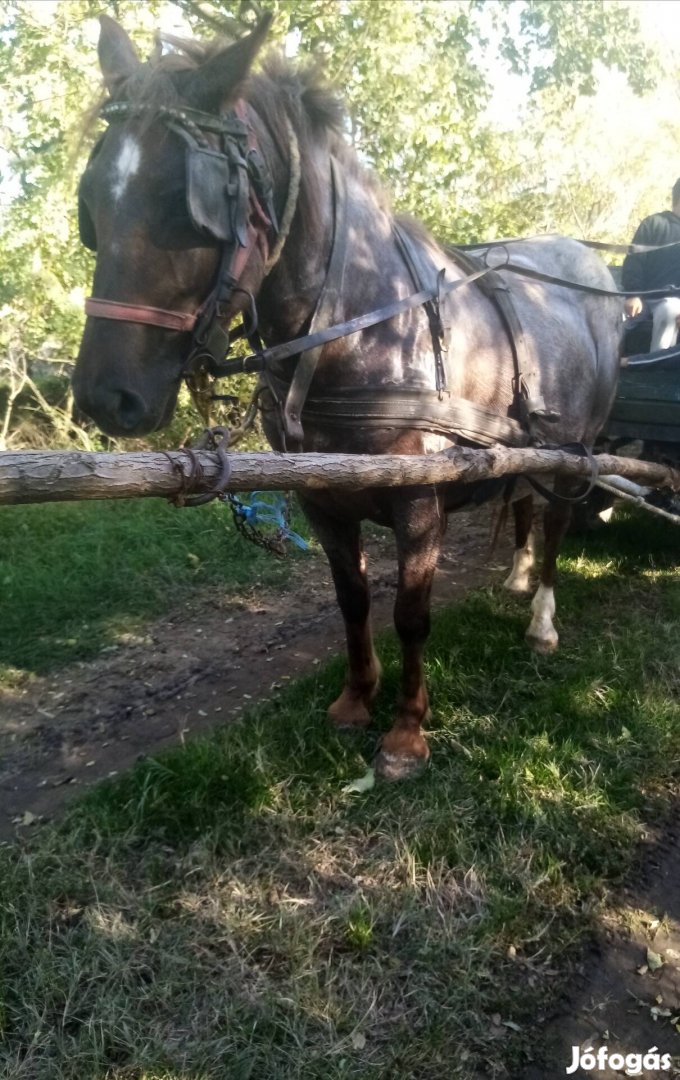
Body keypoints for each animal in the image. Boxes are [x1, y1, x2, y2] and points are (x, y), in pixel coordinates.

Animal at [73, 16, 621, 777]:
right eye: (93, 202)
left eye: (190, 208)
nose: (104, 397)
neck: (365, 325)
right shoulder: (320, 498)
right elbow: (353, 600)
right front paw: (356, 700)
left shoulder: (419, 505)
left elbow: (410, 616)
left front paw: (406, 733)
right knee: (520, 504)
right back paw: (514, 577)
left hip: (577, 449)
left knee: (558, 520)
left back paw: (541, 620)